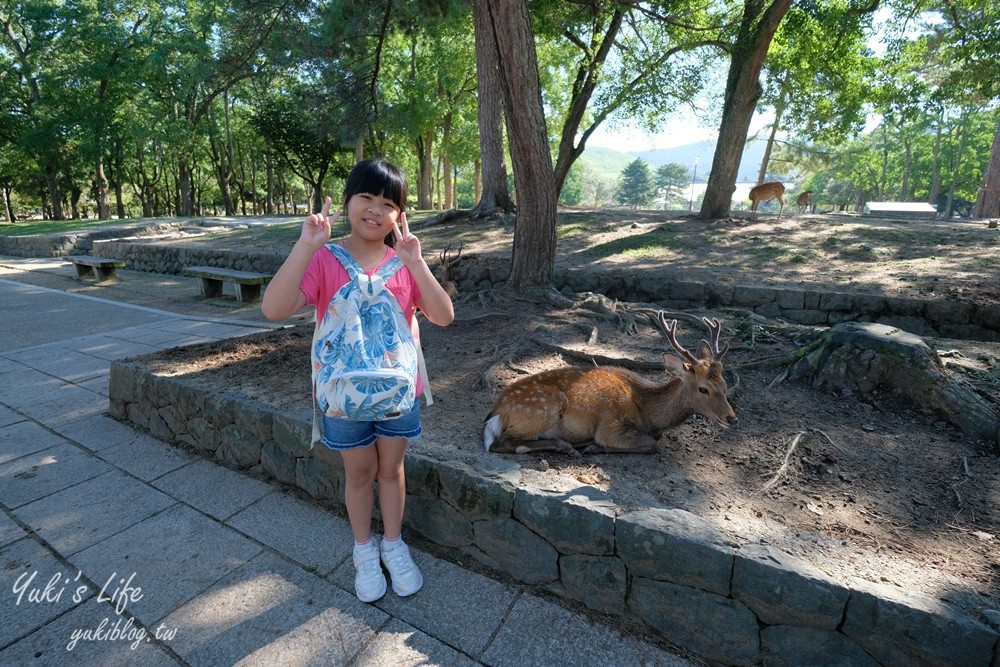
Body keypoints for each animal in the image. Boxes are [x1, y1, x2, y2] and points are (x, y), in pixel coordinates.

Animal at [484, 316, 736, 456]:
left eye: (724, 384)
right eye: (703, 388)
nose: (732, 418)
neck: (648, 413)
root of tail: (497, 411)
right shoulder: (611, 425)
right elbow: (651, 443)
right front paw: (595, 446)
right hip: (543, 409)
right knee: (503, 443)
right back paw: (571, 447)